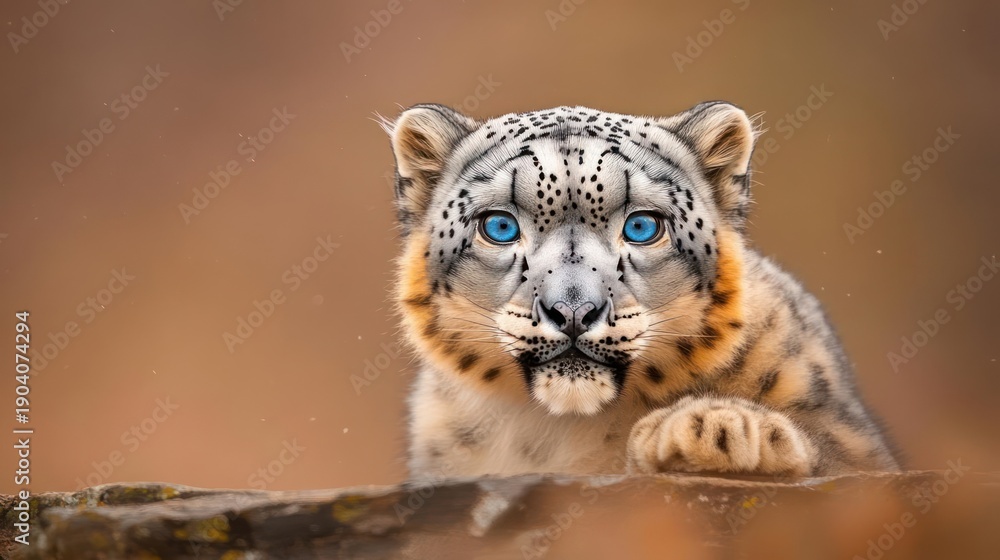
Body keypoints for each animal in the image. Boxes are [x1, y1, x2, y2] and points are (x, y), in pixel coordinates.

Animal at [382, 101, 900, 482]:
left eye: (642, 226)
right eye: (500, 226)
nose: (573, 310)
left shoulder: (852, 436)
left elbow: (837, 449)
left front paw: (720, 426)